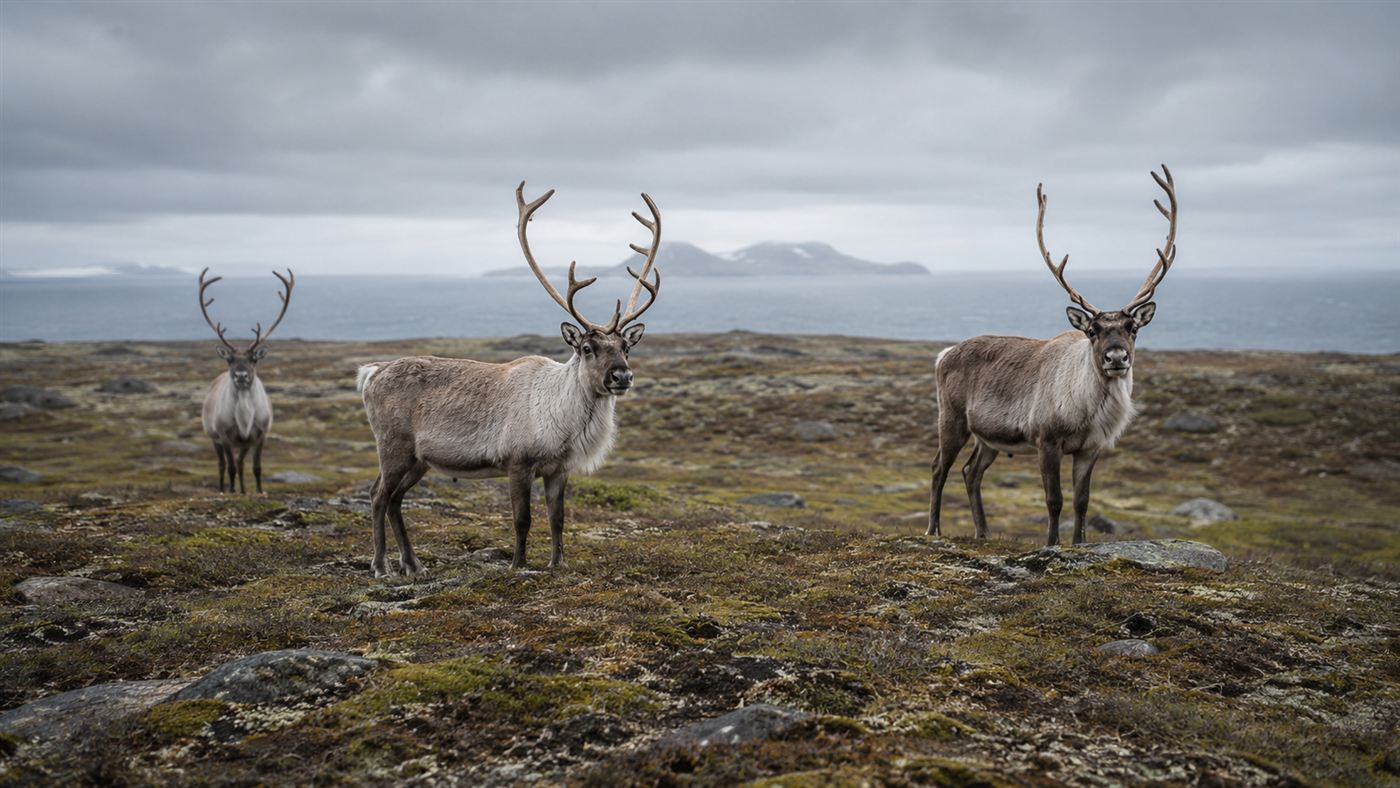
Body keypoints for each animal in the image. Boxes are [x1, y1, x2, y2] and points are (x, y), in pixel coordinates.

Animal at [198, 267, 295, 494]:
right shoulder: (224, 435)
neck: (244, 417)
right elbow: (230, 467)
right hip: (213, 436)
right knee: (223, 464)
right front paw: (231, 491)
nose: (241, 376)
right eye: (230, 359)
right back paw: (225, 489)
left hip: (243, 445)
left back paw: (243, 490)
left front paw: (258, 491)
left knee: (242, 463)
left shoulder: (259, 435)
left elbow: (256, 467)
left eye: (253, 359)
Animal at [355, 182, 663, 577]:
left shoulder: (559, 470)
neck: (564, 419)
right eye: (587, 347)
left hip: (419, 459)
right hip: (393, 446)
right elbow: (522, 519)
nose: (621, 376)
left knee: (395, 499)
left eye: (626, 346)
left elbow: (557, 519)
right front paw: (518, 565)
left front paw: (557, 563)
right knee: (378, 494)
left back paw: (413, 564)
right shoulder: (518, 463)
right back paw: (381, 565)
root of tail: (373, 371)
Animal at [928, 165, 1178, 547]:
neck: (1089, 411)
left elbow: (1081, 501)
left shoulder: (1091, 448)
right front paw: (1051, 544)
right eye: (1093, 330)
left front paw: (1079, 543)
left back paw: (984, 532)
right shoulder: (1046, 439)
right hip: (952, 418)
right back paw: (934, 529)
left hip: (989, 437)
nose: (1116, 357)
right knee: (939, 468)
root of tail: (944, 354)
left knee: (971, 471)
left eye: (1132, 327)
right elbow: (1054, 499)